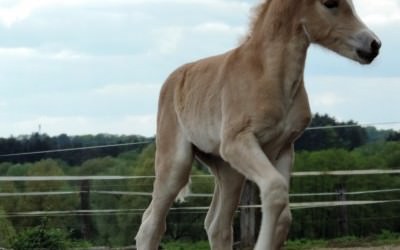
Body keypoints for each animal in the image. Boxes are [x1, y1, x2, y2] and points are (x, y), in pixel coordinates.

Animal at [135, 0, 382, 250]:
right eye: (330, 3)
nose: (374, 45)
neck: (269, 75)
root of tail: (171, 81)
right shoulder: (237, 142)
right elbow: (274, 191)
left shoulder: (283, 148)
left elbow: (284, 217)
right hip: (176, 164)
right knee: (151, 225)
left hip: (228, 170)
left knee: (217, 225)